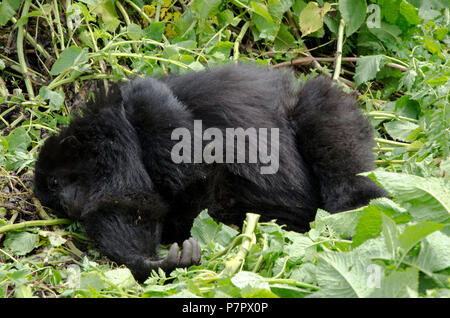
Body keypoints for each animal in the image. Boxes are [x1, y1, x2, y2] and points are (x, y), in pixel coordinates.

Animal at [34, 64, 386, 280]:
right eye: (51, 199)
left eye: (55, 180)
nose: (66, 203)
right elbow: (132, 207)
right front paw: (153, 263)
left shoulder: (112, 135)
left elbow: (186, 163)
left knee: (318, 106)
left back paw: (357, 204)